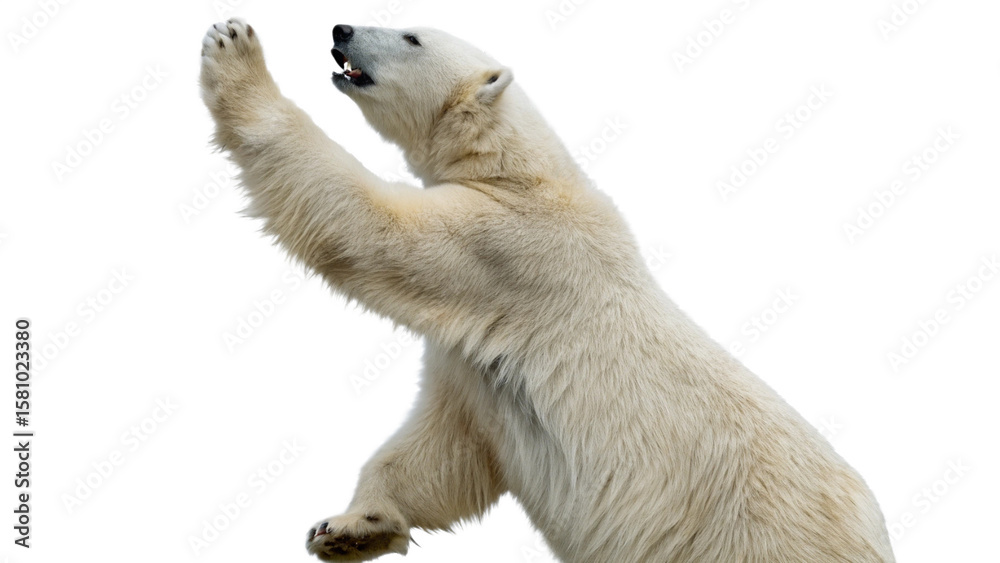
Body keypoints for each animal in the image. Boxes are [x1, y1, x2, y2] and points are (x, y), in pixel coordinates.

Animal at [199, 19, 895, 562]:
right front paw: (350, 526)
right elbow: (447, 447)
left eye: (411, 35)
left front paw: (234, 54)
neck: (521, 170)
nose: (340, 28)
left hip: (764, 536)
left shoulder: (508, 249)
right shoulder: (475, 367)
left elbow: (366, 227)